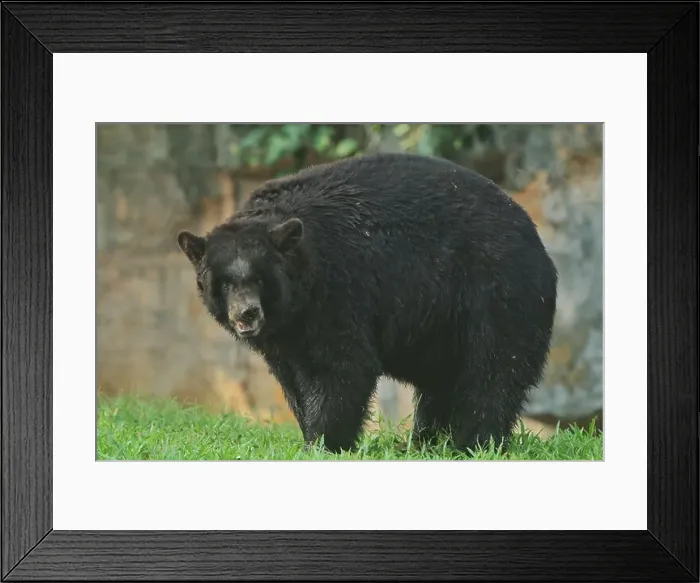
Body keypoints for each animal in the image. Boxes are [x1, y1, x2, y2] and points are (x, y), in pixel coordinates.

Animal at [177, 152, 558, 454]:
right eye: (224, 283)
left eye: (259, 278)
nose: (247, 314)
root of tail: (538, 243)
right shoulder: (286, 333)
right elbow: (291, 378)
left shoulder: (339, 288)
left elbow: (341, 366)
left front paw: (323, 443)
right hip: (445, 324)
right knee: (442, 383)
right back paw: (425, 441)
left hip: (497, 294)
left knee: (492, 371)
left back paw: (472, 443)